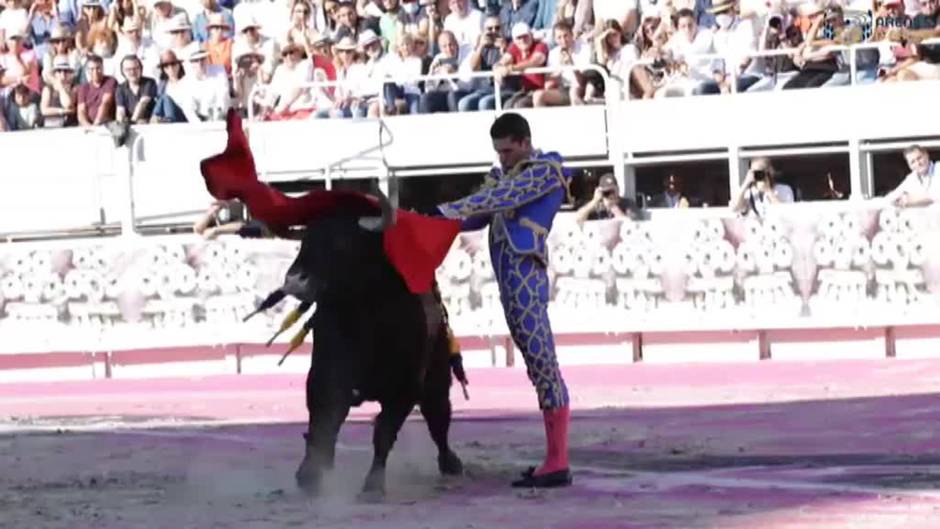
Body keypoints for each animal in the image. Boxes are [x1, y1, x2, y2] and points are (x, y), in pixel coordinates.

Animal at [278, 191, 464, 500]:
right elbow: (323, 421)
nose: (294, 280)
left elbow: (384, 432)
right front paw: (311, 473)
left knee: (439, 419)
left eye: (342, 242)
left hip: (437, 380)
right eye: (306, 239)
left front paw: (373, 484)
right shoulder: (326, 375)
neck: (367, 314)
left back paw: (451, 463)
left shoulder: (405, 389)